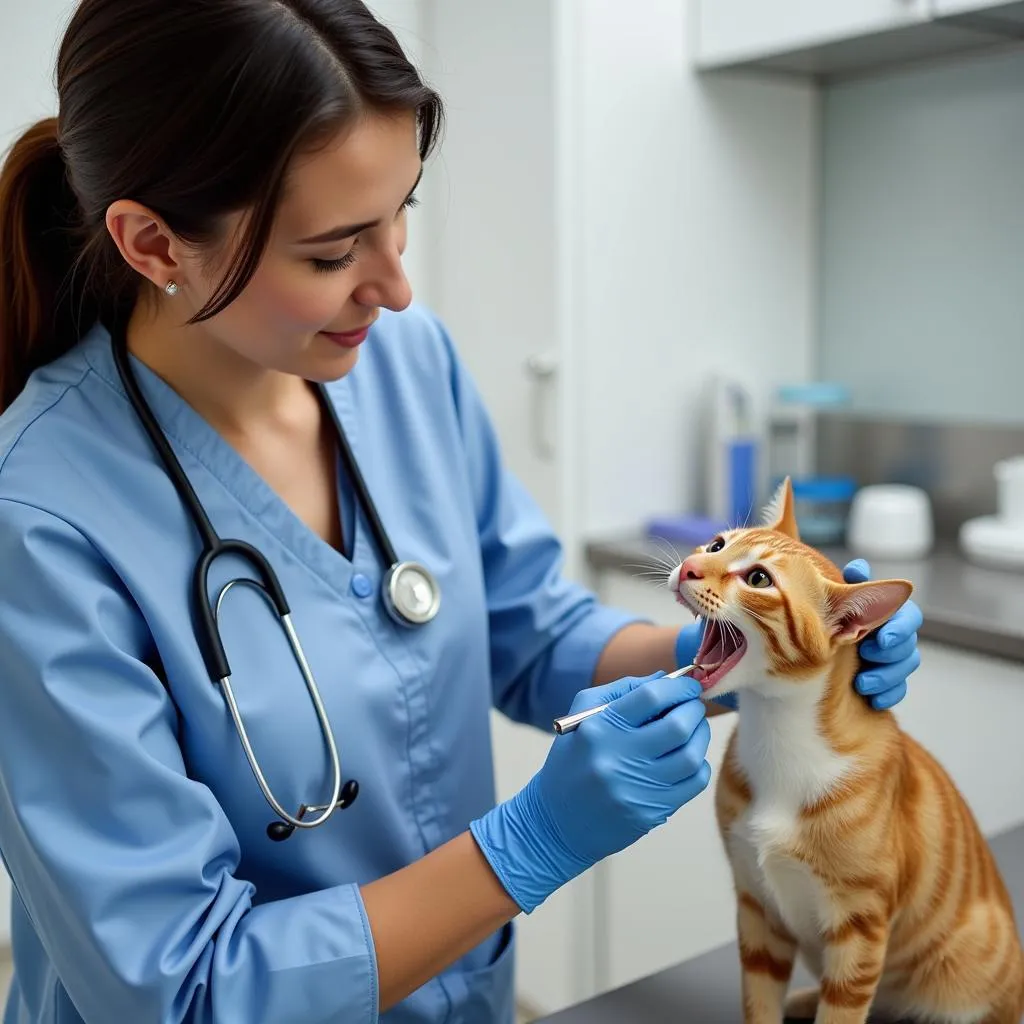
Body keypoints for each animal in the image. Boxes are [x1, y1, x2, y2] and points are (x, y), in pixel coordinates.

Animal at [667, 479, 1019, 1024]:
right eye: (717, 544)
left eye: (759, 578)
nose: (688, 566)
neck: (779, 733)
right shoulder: (757, 908)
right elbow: (759, 1002)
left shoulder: (860, 930)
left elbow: (842, 1012)